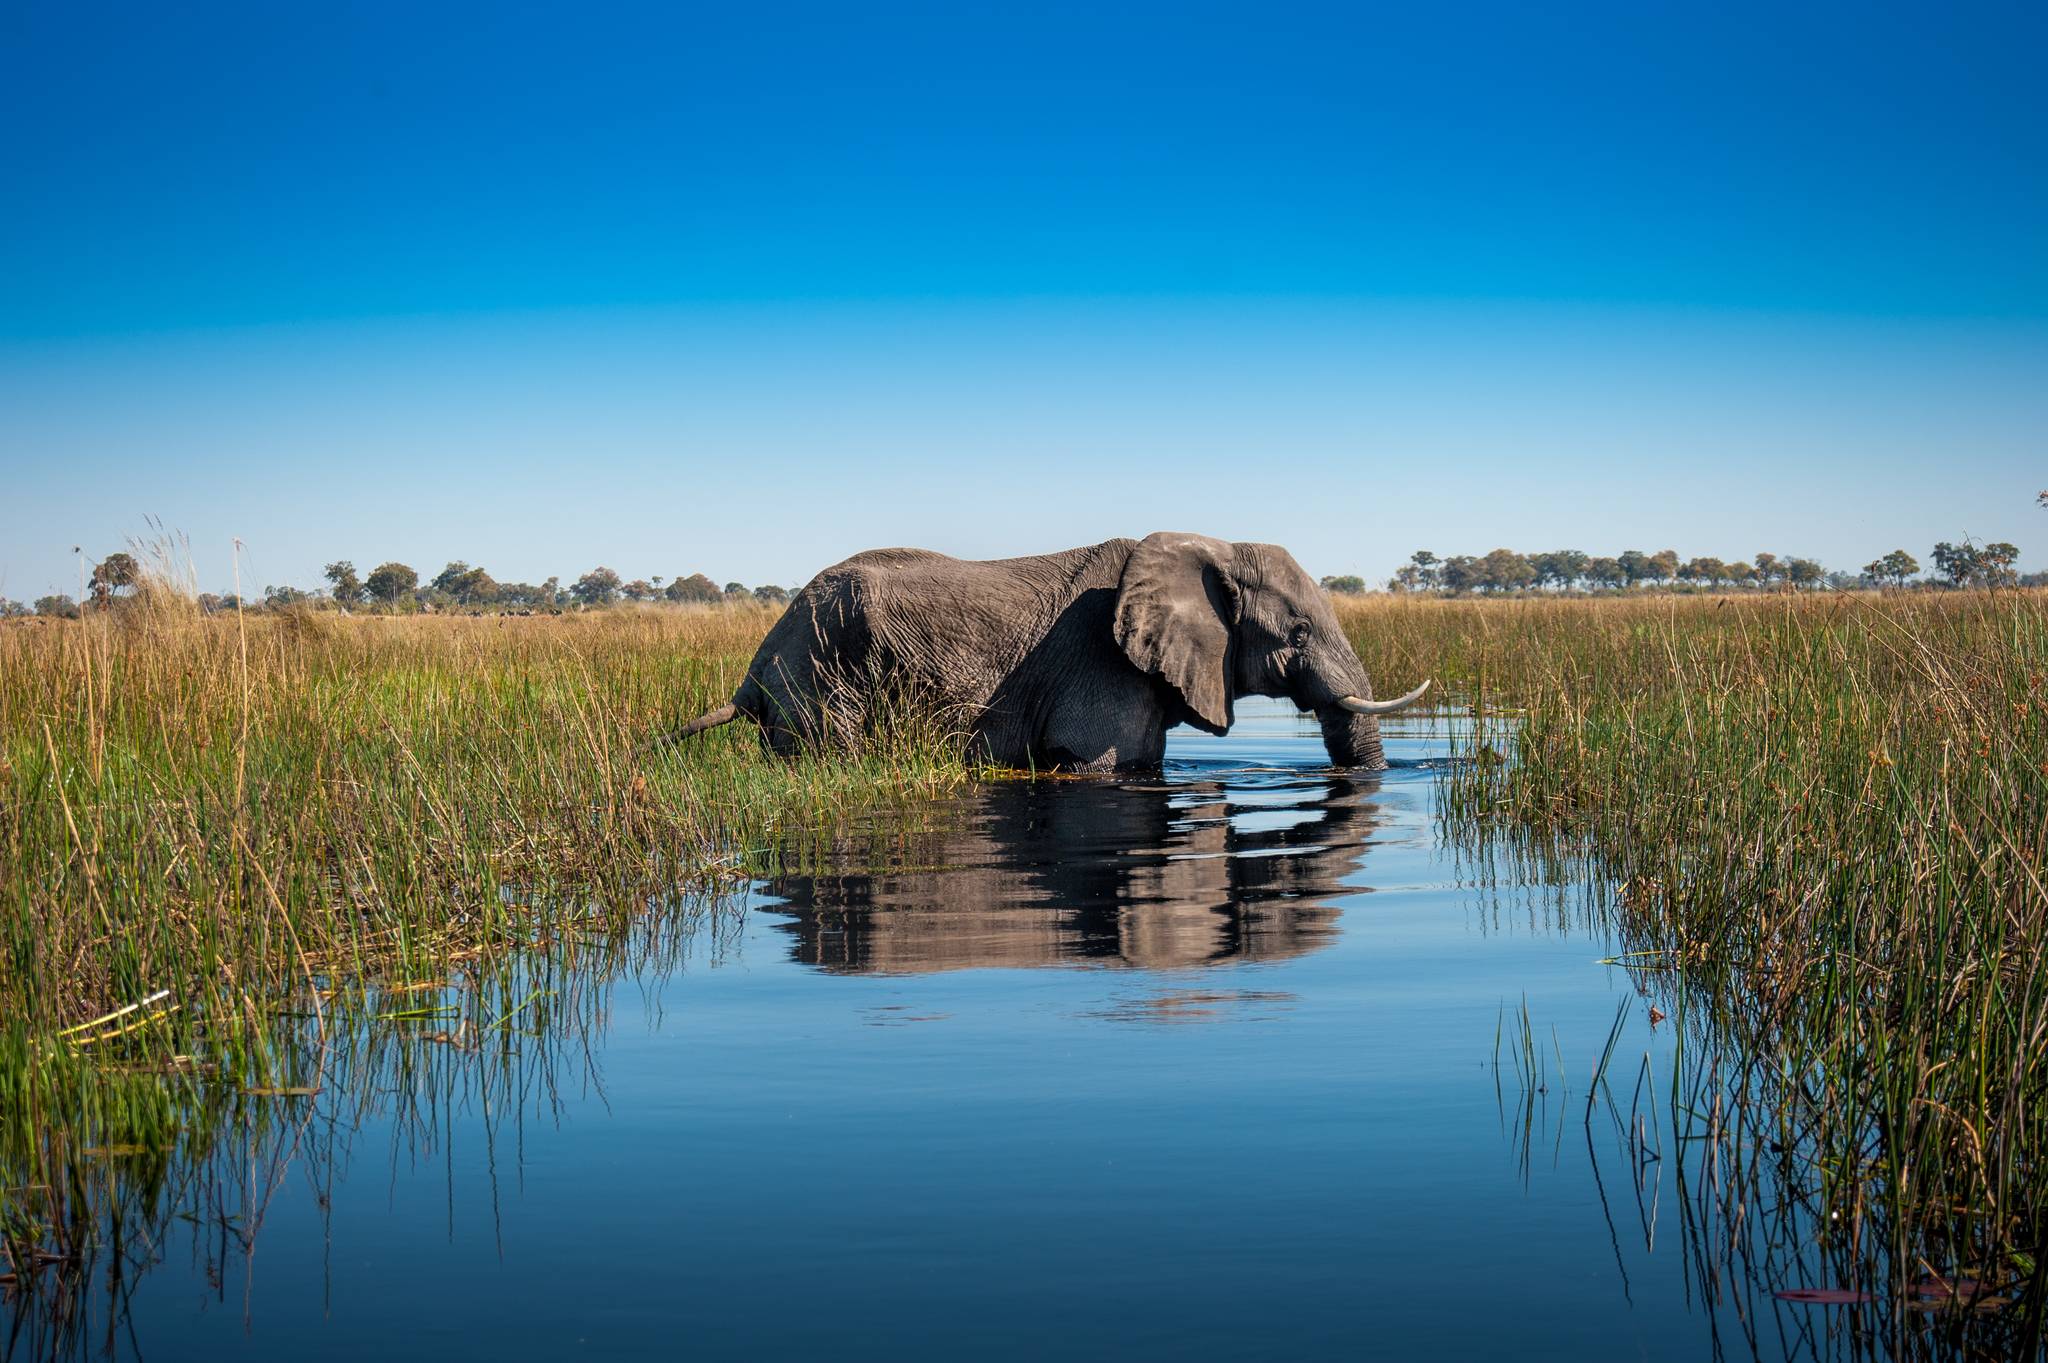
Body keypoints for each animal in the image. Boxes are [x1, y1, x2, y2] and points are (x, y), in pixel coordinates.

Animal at [663, 528, 1433, 769]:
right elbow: (1107, 764)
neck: (1207, 543)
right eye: (1296, 634)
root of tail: (753, 670)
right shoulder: (1101, 665)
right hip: (822, 680)